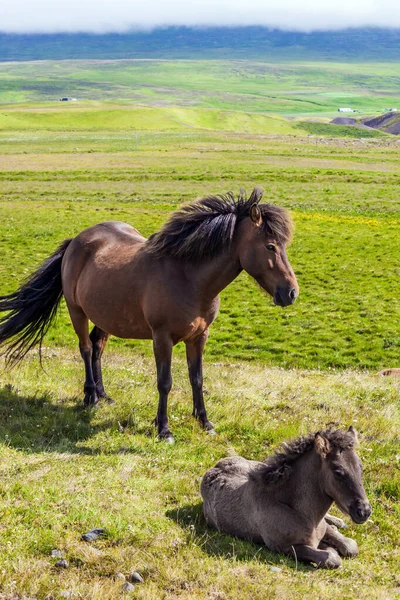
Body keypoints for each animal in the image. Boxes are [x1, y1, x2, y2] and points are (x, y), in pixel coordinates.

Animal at [0, 188, 296, 440]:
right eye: (270, 246)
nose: (291, 292)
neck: (189, 279)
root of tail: (77, 241)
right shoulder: (162, 338)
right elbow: (165, 382)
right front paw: (163, 428)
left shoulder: (199, 336)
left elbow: (197, 379)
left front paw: (204, 422)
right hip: (77, 311)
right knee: (85, 348)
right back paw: (90, 397)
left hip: (106, 315)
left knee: (97, 347)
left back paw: (104, 394)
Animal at [200, 426, 372, 568]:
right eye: (338, 471)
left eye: (360, 467)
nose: (364, 511)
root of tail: (214, 467)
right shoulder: (282, 547)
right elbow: (332, 558)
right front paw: (328, 548)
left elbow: (350, 546)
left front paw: (334, 531)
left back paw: (338, 522)